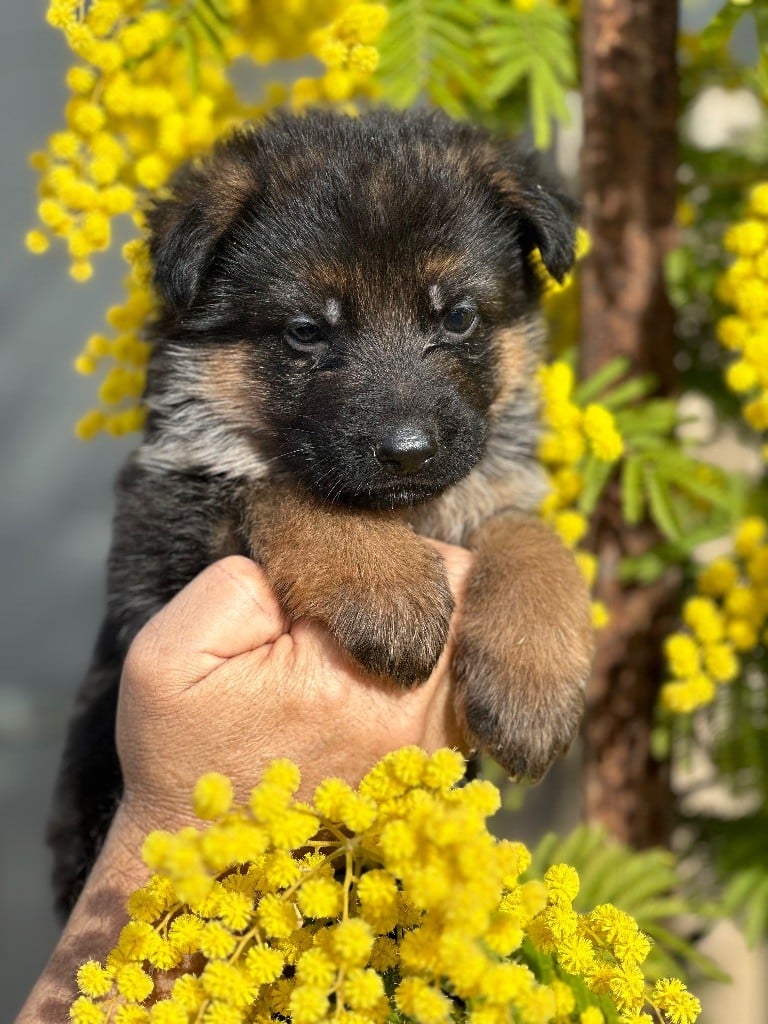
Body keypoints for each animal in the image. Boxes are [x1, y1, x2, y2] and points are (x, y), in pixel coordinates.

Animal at [48, 110, 593, 921]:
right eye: (307, 332)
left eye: (459, 317)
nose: (408, 452)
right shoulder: (174, 534)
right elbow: (282, 488)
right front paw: (387, 587)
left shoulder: (490, 489)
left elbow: (531, 536)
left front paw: (534, 682)